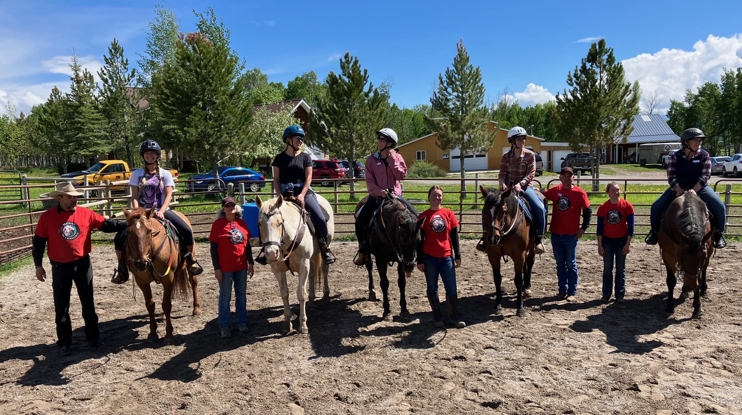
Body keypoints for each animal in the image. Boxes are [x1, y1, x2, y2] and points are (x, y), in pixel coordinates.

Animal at [122, 207, 201, 341]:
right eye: (128, 231)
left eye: (149, 231)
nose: (141, 263)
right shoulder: (142, 281)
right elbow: (150, 305)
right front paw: (153, 333)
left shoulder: (168, 278)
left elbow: (167, 304)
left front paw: (169, 334)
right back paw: (164, 317)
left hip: (189, 264)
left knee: (193, 282)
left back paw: (196, 309)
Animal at [255, 193, 334, 334]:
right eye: (259, 223)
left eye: (280, 223)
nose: (271, 253)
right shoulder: (277, 269)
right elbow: (284, 293)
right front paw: (287, 323)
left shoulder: (303, 266)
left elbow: (301, 294)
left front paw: (303, 325)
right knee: (312, 274)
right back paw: (312, 299)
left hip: (325, 248)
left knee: (325, 269)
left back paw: (326, 294)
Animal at [480, 185, 542, 316]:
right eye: (484, 210)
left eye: (503, 210)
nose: (493, 238)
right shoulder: (493, 255)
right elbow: (497, 278)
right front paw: (498, 304)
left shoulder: (519, 254)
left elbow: (518, 279)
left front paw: (520, 307)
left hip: (531, 248)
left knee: (530, 262)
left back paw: (527, 287)